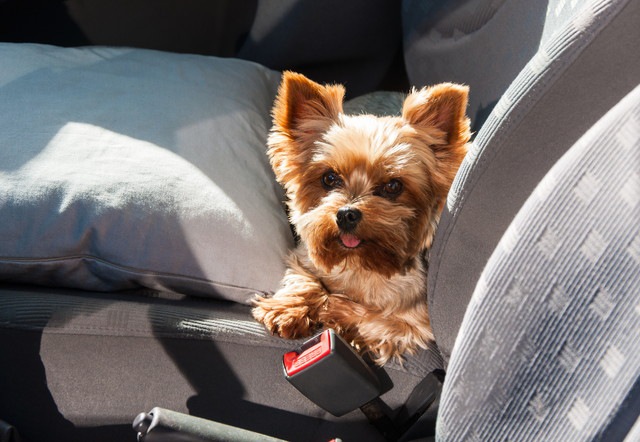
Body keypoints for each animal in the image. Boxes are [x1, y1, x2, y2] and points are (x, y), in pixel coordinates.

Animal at [251, 71, 470, 364]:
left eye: (393, 186)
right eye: (329, 178)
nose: (346, 214)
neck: (358, 263)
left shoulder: (415, 324)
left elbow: (373, 318)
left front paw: (331, 309)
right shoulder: (303, 257)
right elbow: (303, 277)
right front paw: (287, 309)